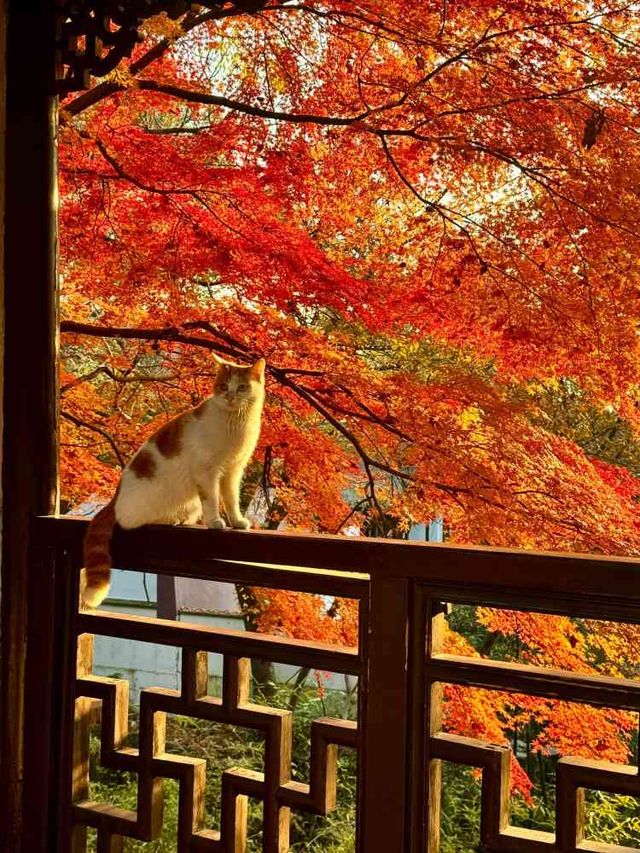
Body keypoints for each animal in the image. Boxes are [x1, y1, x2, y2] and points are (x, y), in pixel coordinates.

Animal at [81, 356, 266, 608]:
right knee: (132, 521)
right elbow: (212, 499)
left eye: (242, 387)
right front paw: (215, 522)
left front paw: (237, 521)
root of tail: (115, 498)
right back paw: (170, 519)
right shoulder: (207, 472)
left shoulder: (233, 471)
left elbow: (231, 500)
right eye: (223, 386)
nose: (229, 396)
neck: (235, 423)